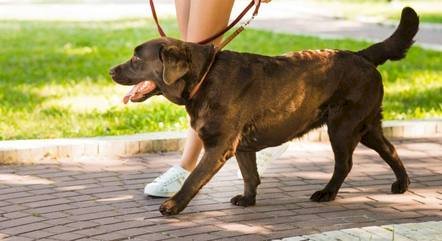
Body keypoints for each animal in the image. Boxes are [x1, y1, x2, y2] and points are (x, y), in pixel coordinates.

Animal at [109, 7, 418, 216]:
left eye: (136, 59)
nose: (111, 70)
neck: (204, 77)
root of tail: (361, 55)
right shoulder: (241, 145)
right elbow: (249, 174)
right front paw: (248, 199)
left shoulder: (218, 146)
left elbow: (194, 178)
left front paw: (173, 205)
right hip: (366, 125)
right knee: (390, 149)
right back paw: (401, 184)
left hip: (343, 127)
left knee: (346, 164)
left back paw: (327, 193)